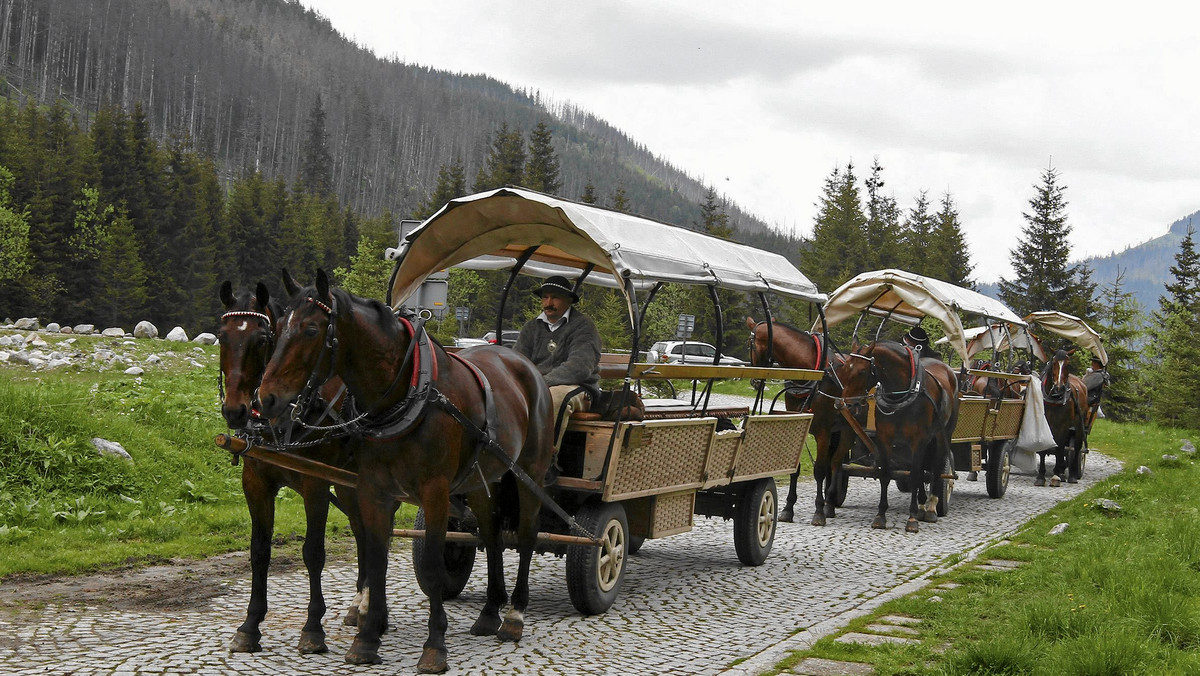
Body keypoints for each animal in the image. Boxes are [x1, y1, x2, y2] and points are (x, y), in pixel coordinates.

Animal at [217, 280, 364, 657]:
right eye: (222, 337)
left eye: (261, 339)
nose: (235, 410)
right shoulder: (255, 483)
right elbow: (259, 551)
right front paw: (250, 625)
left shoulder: (316, 485)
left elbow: (313, 553)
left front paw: (313, 628)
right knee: (363, 530)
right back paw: (360, 604)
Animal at [258, 268, 556, 672]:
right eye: (276, 328)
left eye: (310, 329)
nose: (266, 398)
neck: (406, 392)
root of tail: (522, 362)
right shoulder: (374, 490)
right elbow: (376, 556)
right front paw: (367, 637)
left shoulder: (435, 491)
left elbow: (430, 567)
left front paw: (434, 646)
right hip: (481, 480)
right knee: (492, 534)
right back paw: (489, 612)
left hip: (529, 473)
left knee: (525, 535)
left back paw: (513, 616)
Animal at [739, 316, 854, 528]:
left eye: (749, 343)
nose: (754, 382)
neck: (811, 374)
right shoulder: (798, 423)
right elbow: (795, 469)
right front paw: (787, 508)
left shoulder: (823, 432)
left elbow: (820, 470)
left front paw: (818, 511)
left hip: (847, 431)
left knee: (835, 464)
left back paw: (829, 504)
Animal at [840, 343, 960, 535]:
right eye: (844, 368)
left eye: (862, 371)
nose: (849, 405)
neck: (900, 395)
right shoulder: (884, 440)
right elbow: (886, 474)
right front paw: (880, 516)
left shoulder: (918, 440)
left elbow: (916, 475)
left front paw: (912, 519)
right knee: (923, 469)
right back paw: (922, 505)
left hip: (942, 436)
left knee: (936, 467)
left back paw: (931, 508)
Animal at [1036, 353, 1094, 489]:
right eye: (1053, 363)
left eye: (1068, 364)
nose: (1059, 388)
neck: (1053, 400)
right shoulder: (1044, 423)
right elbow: (1043, 450)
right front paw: (1041, 476)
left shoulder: (1063, 426)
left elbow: (1060, 448)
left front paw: (1056, 476)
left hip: (1078, 427)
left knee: (1076, 448)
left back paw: (1071, 475)